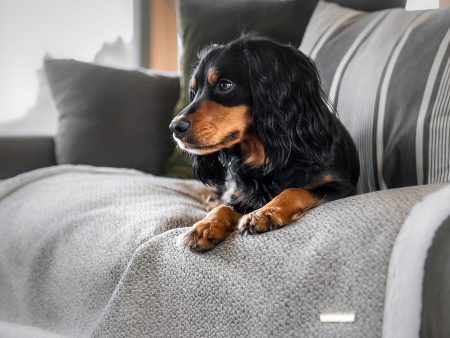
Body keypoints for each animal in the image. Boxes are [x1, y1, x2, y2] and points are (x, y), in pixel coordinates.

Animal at [169, 34, 358, 252]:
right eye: (193, 90)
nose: (175, 127)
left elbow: (295, 190)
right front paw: (205, 226)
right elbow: (225, 206)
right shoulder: (243, 194)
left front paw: (264, 214)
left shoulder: (342, 187)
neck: (270, 153)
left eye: (224, 85)